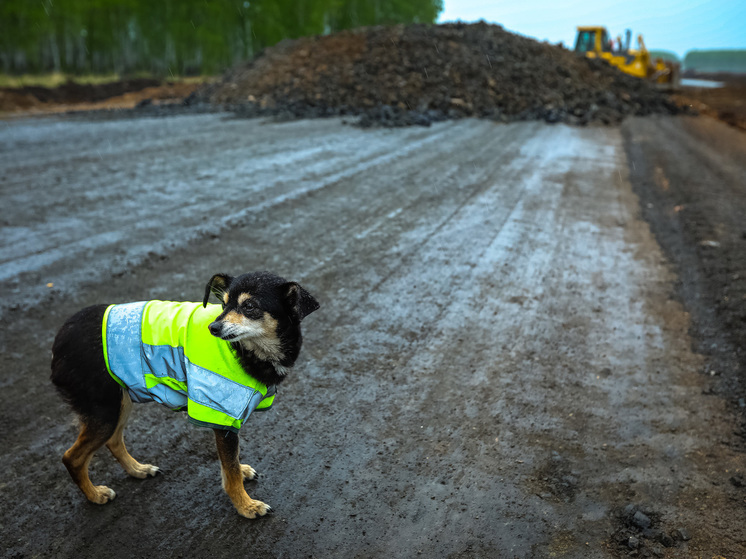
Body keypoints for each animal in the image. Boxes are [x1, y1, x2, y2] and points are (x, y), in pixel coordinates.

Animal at [50, 272, 318, 520]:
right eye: (223, 304)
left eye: (249, 306)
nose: (213, 328)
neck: (250, 352)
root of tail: (59, 340)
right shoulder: (220, 415)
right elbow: (230, 471)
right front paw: (246, 506)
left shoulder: (225, 421)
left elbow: (230, 461)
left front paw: (240, 474)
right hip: (105, 410)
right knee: (72, 458)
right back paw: (95, 495)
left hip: (118, 403)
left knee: (114, 441)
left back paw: (138, 470)